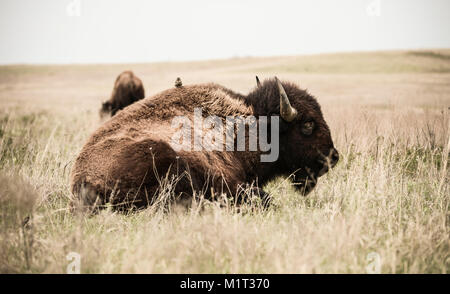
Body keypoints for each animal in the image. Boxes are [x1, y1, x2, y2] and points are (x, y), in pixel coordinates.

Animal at [71, 76, 338, 211]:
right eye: (308, 124)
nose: (333, 157)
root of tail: (79, 181)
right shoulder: (229, 183)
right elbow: (263, 198)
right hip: (163, 156)